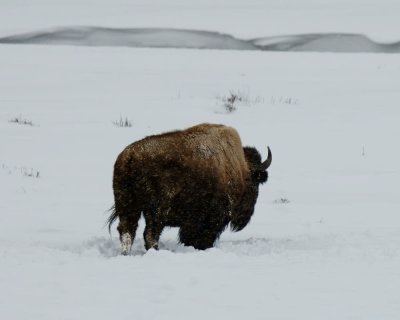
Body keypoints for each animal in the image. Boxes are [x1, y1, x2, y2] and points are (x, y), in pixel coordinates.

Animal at [107, 123, 272, 255]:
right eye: (256, 183)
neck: (240, 169)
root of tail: (130, 156)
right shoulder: (210, 219)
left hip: (127, 205)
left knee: (127, 230)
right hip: (156, 211)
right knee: (149, 234)